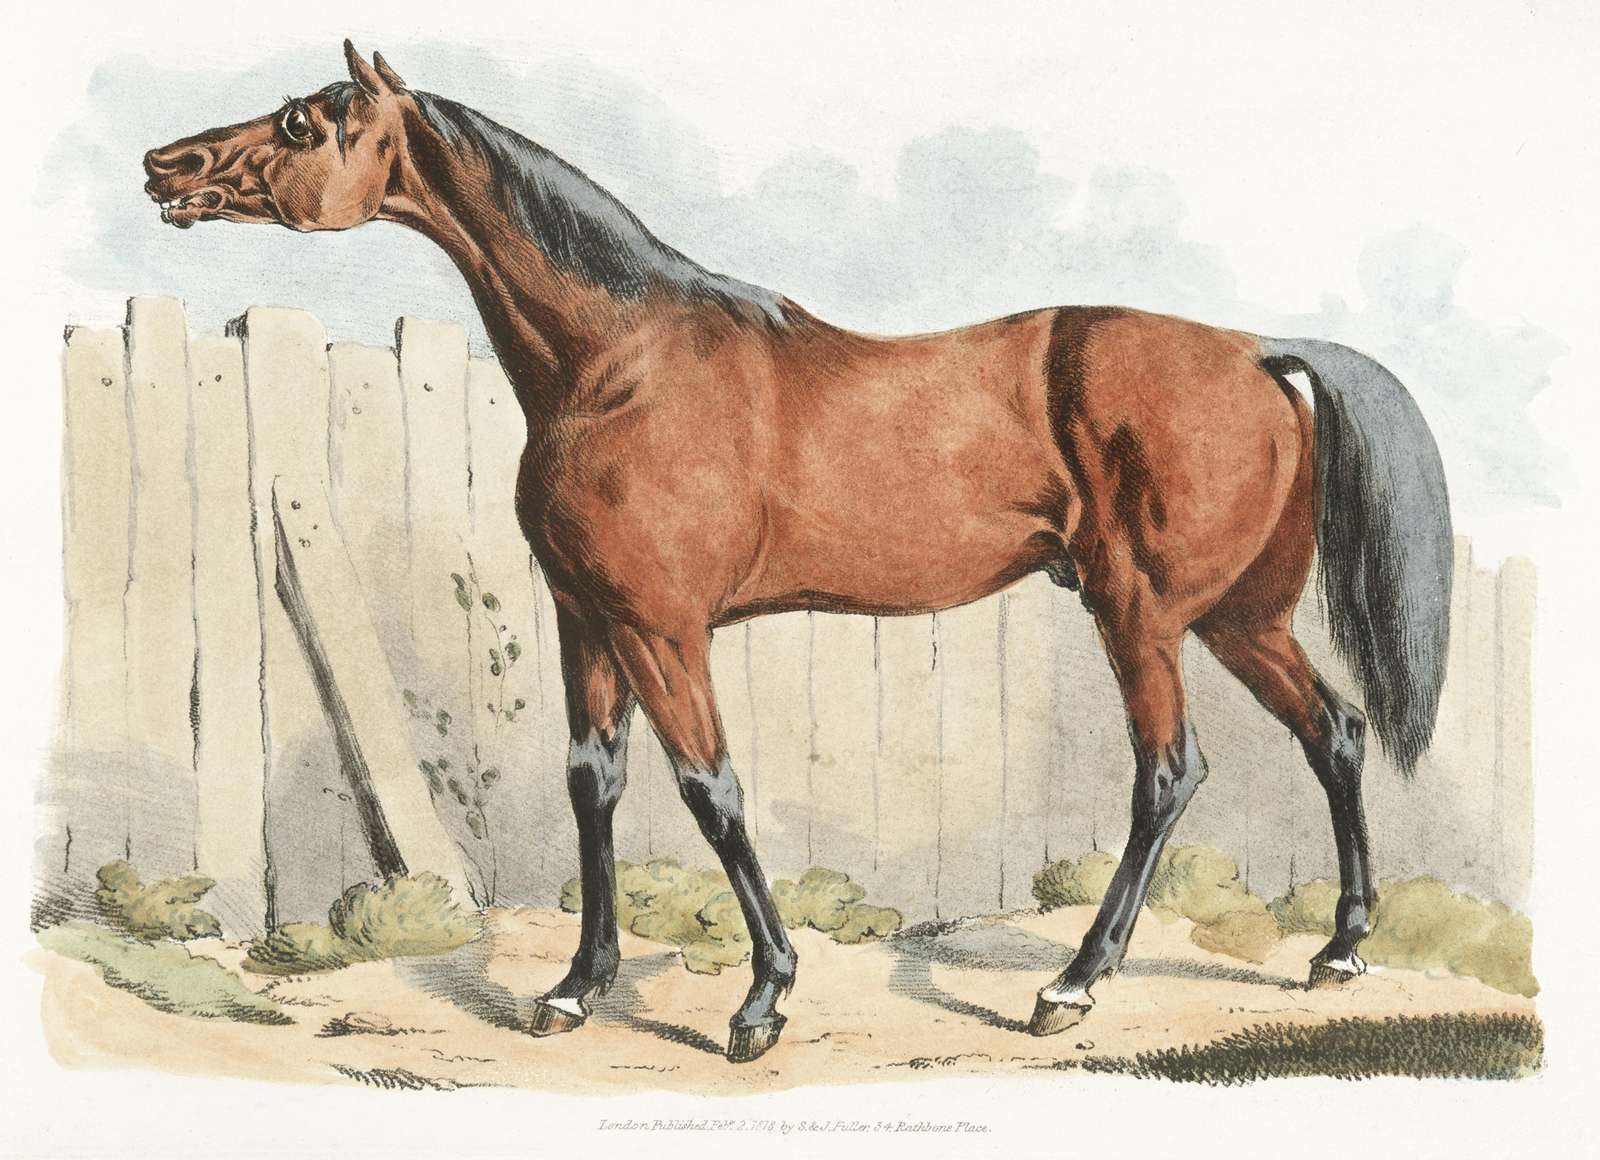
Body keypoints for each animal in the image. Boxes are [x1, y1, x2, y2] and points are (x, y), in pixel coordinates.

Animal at [143, 42, 1453, 1063]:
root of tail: (1255, 349)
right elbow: (594, 785)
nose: (167, 168)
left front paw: (761, 999)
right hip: (1240, 617)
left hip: (1140, 614)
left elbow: (710, 790)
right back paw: (1339, 949)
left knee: (1168, 771)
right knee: (1334, 732)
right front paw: (574, 986)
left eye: (304, 119)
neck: (623, 361)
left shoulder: (664, 627)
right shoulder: (588, 618)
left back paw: (1072, 984)